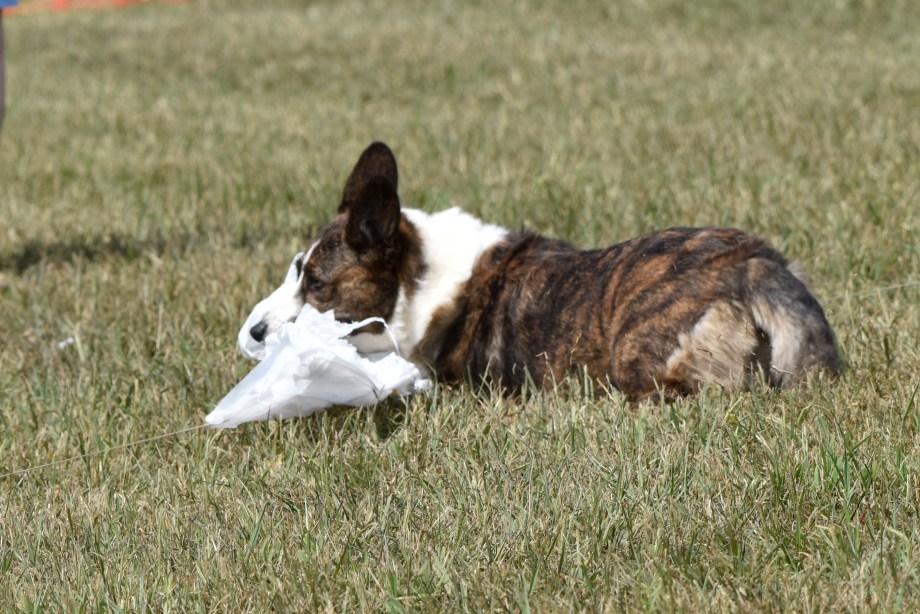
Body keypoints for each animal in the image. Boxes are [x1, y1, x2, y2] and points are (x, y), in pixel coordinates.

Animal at [241, 142, 840, 402]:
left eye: (317, 285)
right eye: (294, 271)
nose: (254, 332)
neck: (417, 281)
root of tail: (752, 264)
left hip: (637, 357)